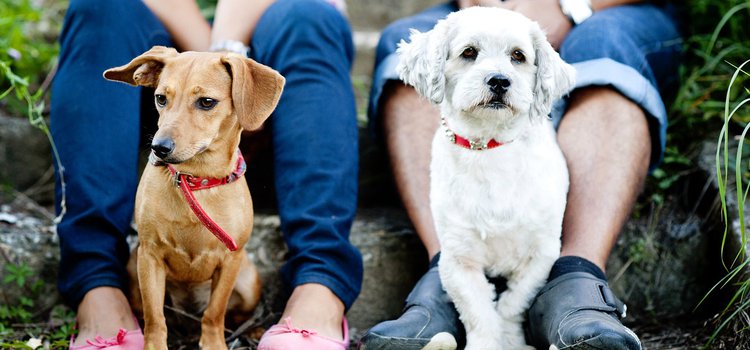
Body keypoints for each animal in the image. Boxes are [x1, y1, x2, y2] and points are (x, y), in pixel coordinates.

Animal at [103, 46, 284, 350]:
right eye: (160, 98)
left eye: (207, 102)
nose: (159, 148)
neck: (195, 180)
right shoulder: (149, 257)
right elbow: (155, 318)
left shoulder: (229, 261)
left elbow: (214, 313)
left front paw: (213, 343)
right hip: (132, 268)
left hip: (248, 282)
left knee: (231, 314)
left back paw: (254, 331)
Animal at [400, 6, 576, 350]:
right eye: (469, 52)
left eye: (518, 56)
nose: (499, 80)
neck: (489, 148)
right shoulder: (458, 259)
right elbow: (478, 311)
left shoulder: (542, 252)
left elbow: (511, 303)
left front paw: (511, 339)